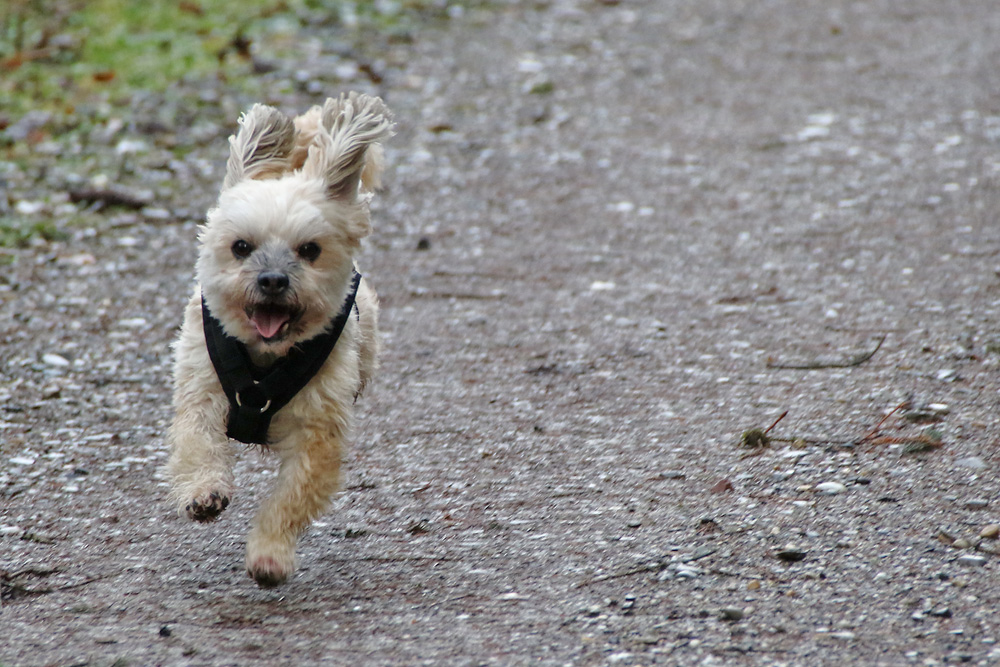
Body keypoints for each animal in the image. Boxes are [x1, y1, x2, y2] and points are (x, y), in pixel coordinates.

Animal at [168, 95, 390, 588]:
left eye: (309, 250)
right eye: (240, 247)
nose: (272, 280)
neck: (265, 358)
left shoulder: (318, 429)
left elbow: (292, 497)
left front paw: (269, 555)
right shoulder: (201, 388)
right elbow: (197, 443)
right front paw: (204, 492)